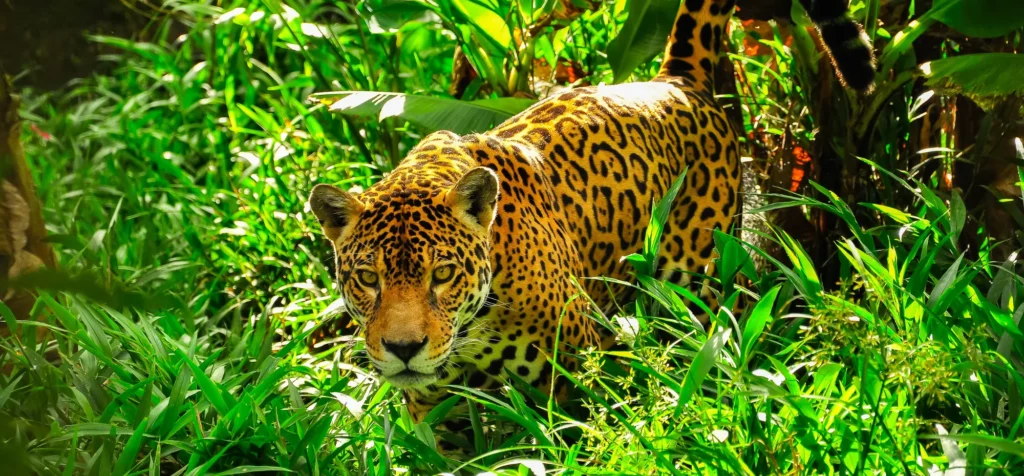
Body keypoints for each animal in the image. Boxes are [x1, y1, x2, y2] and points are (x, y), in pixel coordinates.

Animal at [308, 0, 874, 440]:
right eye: (368, 278)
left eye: (442, 274)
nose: (403, 350)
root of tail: (675, 79)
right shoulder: (437, 414)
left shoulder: (574, 383)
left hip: (704, 284)